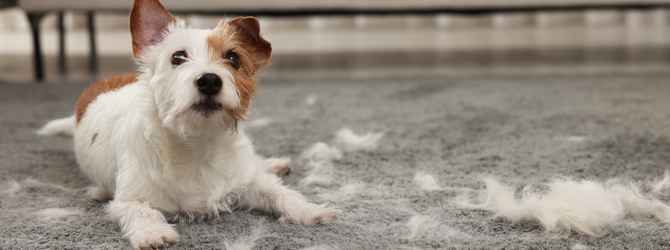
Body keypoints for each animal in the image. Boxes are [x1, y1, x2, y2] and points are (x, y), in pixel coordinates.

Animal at [37, 0, 342, 249]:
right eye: (178, 57)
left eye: (233, 58)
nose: (209, 80)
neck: (199, 144)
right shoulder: (127, 200)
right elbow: (141, 210)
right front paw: (153, 233)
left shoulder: (251, 183)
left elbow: (281, 193)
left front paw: (311, 211)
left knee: (258, 165)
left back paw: (274, 163)